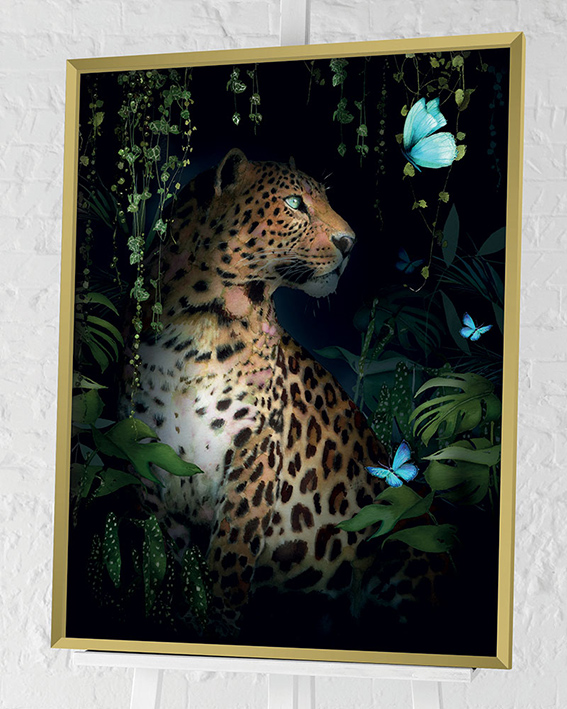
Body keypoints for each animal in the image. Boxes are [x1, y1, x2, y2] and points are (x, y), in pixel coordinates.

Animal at [126, 148, 443, 632]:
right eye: (294, 203)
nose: (349, 243)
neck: (199, 324)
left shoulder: (254, 453)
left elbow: (229, 562)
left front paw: (220, 628)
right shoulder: (146, 461)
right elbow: (160, 563)